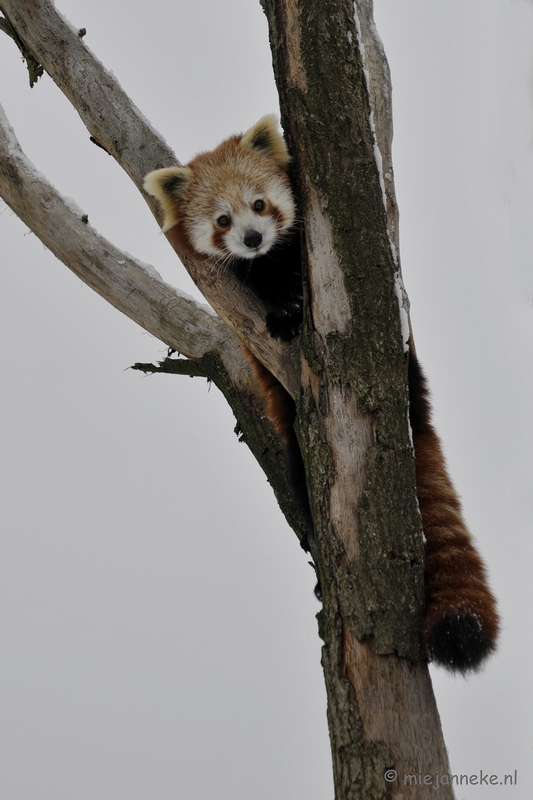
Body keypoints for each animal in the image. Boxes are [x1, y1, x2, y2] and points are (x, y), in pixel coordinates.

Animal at [142, 114, 498, 676]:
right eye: (222, 219)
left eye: (260, 203)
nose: (251, 238)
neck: (270, 262)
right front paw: (282, 314)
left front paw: (292, 307)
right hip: (293, 444)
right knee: (299, 482)